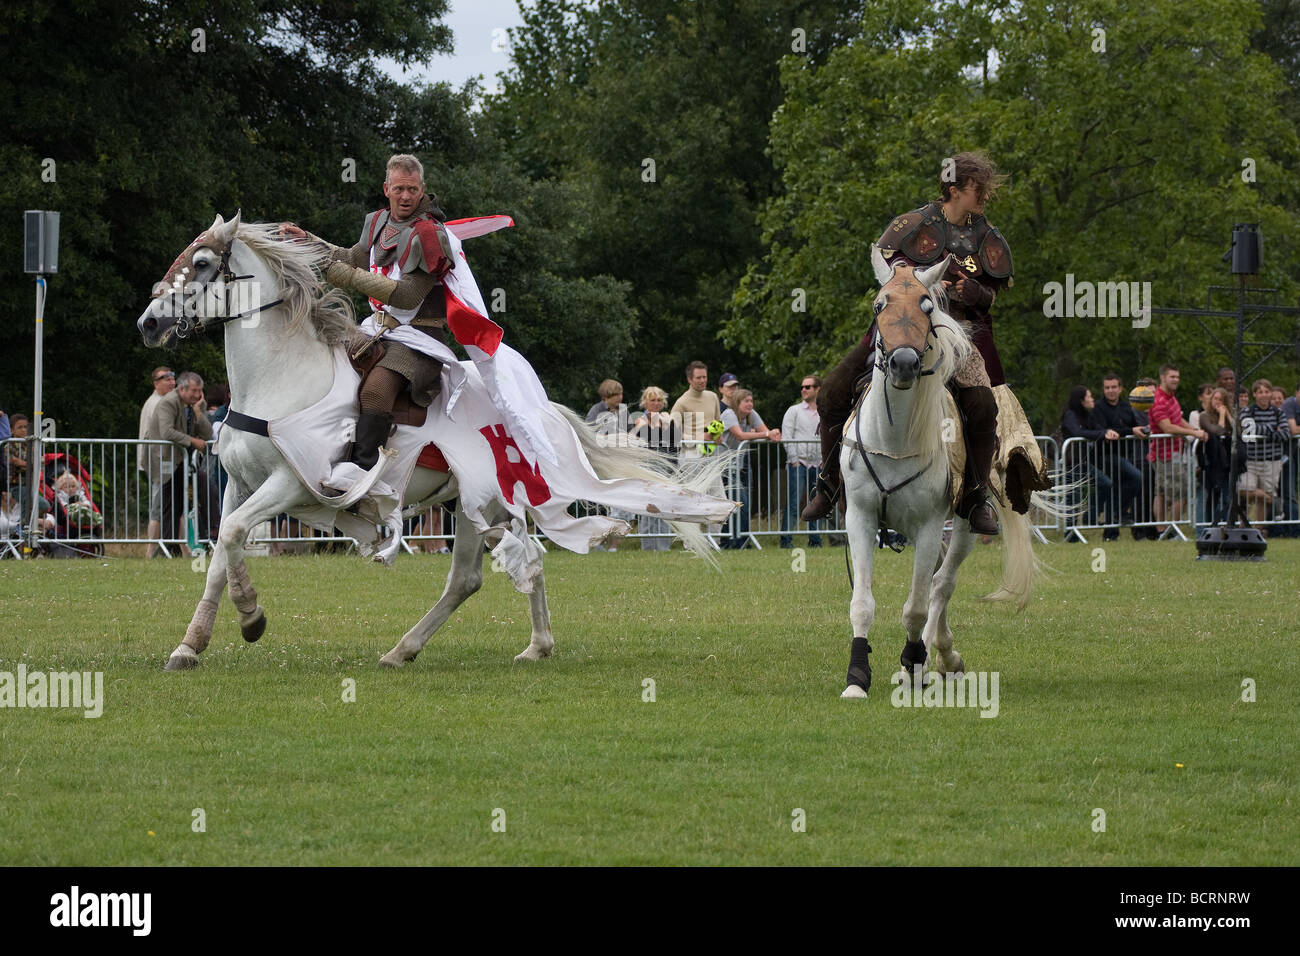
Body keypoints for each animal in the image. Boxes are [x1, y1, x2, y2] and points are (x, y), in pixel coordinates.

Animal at [138, 210, 738, 671]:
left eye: (203, 264)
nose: (148, 324)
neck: (281, 379)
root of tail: (541, 413)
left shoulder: (291, 483)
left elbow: (233, 535)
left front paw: (252, 618)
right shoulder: (239, 485)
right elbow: (223, 548)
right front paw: (190, 646)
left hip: (486, 498)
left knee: (483, 573)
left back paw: (423, 648)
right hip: (475, 503)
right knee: (498, 569)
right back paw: (510, 647)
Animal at [842, 243, 1045, 697]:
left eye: (927, 304)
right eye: (880, 304)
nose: (902, 363)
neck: (897, 438)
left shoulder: (932, 523)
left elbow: (915, 608)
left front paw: (913, 664)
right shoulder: (860, 517)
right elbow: (862, 604)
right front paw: (857, 678)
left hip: (965, 523)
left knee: (940, 585)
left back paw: (940, 656)